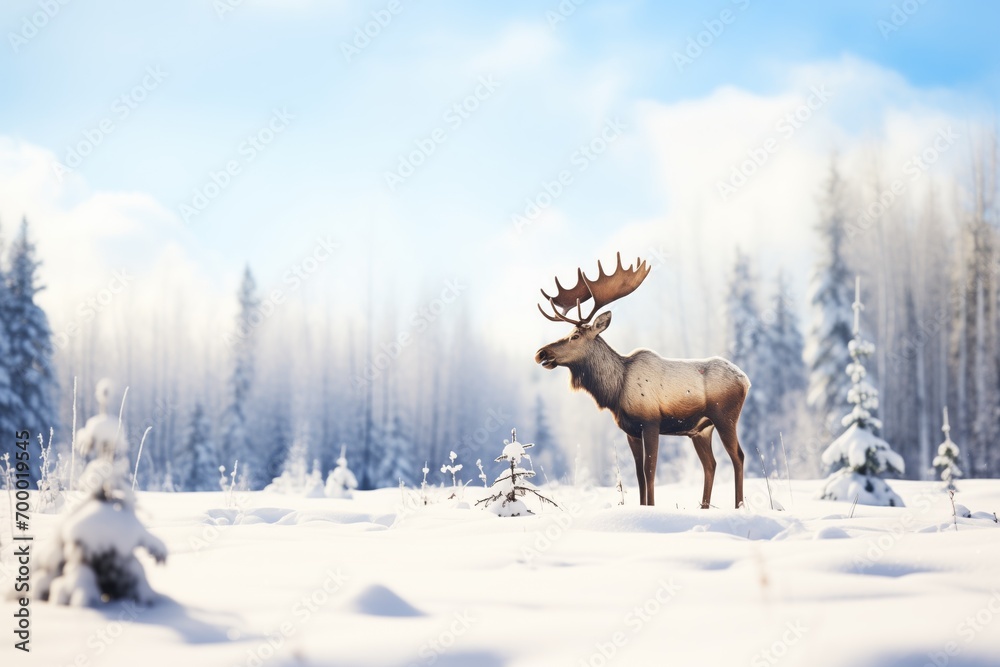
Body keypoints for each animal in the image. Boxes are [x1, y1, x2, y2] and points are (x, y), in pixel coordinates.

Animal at [534, 253, 751, 508]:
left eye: (575, 336)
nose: (541, 353)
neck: (615, 390)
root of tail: (746, 380)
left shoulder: (651, 422)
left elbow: (650, 470)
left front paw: (652, 507)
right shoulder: (631, 430)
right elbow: (638, 475)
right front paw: (643, 506)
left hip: (725, 417)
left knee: (738, 456)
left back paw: (739, 506)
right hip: (700, 430)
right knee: (711, 464)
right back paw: (704, 507)